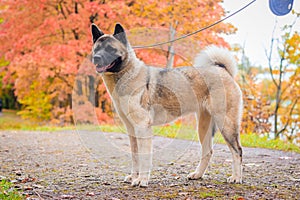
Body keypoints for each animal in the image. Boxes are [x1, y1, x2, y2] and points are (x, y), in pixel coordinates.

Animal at [90, 23, 243, 188]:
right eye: (97, 49)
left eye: (110, 49)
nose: (96, 58)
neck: (126, 74)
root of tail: (223, 70)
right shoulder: (131, 129)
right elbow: (135, 156)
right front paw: (134, 177)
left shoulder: (142, 127)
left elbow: (144, 157)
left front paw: (142, 180)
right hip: (204, 126)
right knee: (208, 151)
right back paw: (197, 175)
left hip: (225, 123)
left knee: (237, 151)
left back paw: (236, 177)